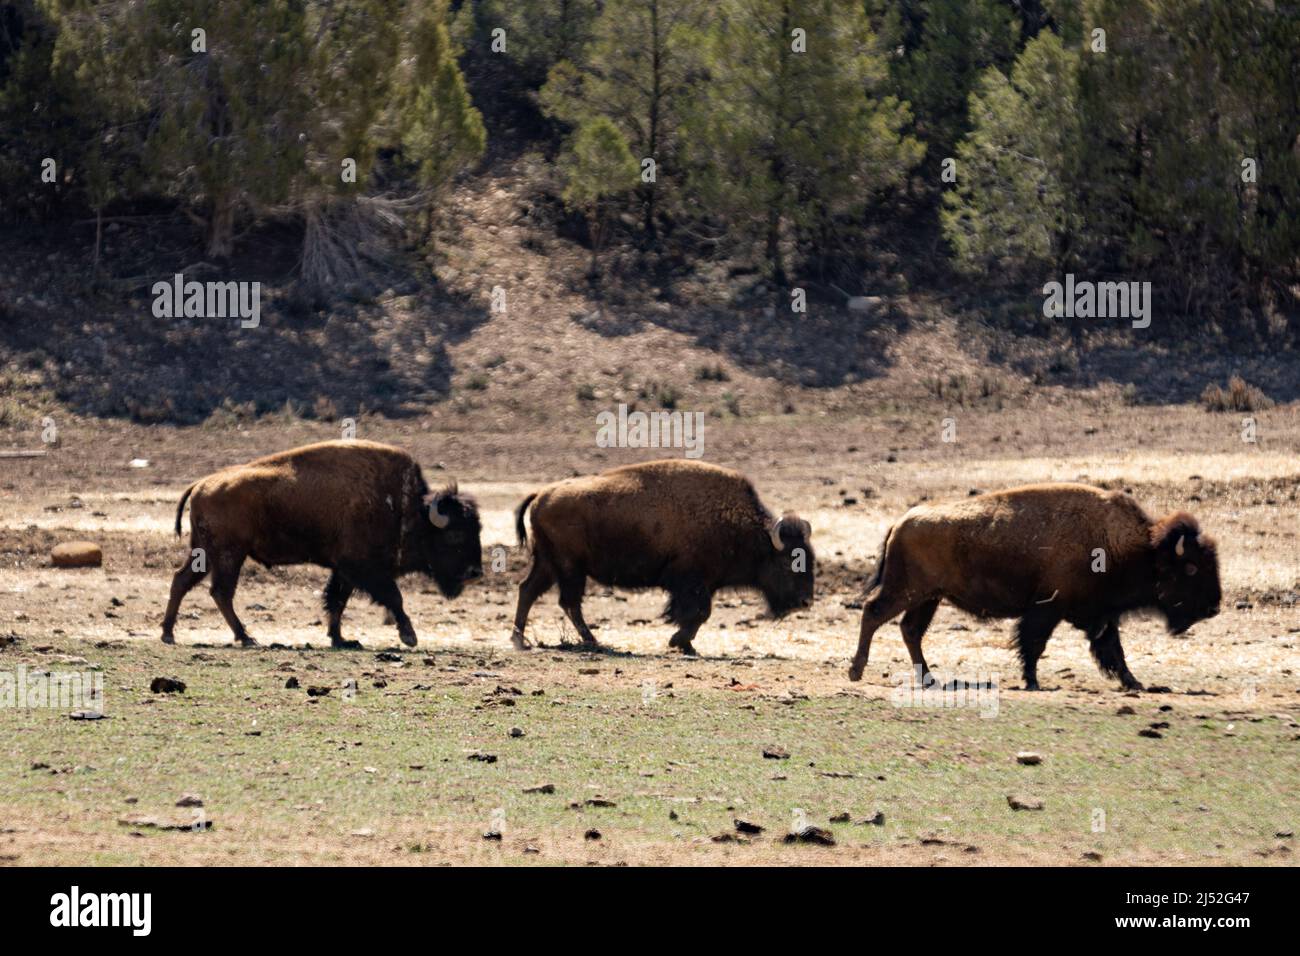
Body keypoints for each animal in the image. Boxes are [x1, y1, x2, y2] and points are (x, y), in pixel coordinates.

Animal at [162, 440, 482, 647]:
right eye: (455, 535)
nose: (475, 573)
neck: (407, 508)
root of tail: (202, 483)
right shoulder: (364, 569)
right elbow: (393, 597)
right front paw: (409, 636)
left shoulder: (345, 571)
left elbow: (336, 600)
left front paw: (341, 639)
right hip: (229, 554)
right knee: (220, 591)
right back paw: (246, 637)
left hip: (205, 554)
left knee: (183, 581)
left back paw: (170, 634)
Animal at [511, 459, 814, 654]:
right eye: (788, 561)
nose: (805, 602)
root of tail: (542, 494)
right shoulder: (691, 582)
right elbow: (699, 613)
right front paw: (679, 642)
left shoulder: (701, 585)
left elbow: (696, 614)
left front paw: (686, 644)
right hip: (569, 568)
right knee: (568, 602)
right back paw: (592, 641)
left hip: (550, 564)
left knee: (529, 591)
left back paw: (520, 640)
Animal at [849, 483, 1221, 690]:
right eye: (1191, 568)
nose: (1214, 607)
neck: (1136, 546)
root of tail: (900, 522)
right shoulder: (1048, 609)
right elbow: (1035, 643)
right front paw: (1031, 681)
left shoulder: (1101, 615)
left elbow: (1113, 650)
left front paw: (1134, 682)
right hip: (908, 591)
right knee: (874, 612)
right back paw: (856, 671)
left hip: (929, 598)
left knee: (910, 630)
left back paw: (928, 679)